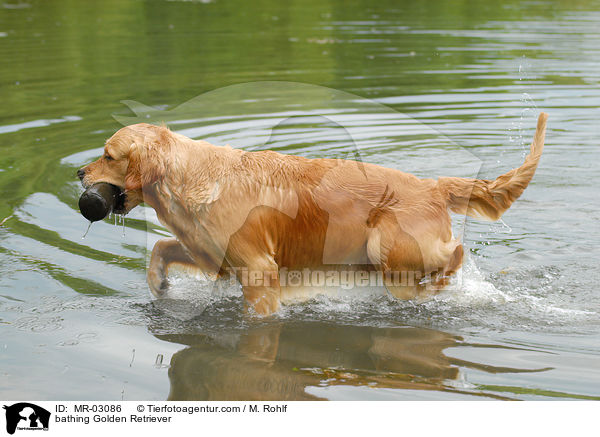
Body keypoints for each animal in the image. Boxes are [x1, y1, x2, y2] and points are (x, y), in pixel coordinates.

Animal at [77, 113, 548, 314]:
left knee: (453, 255)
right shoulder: (214, 257)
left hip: (386, 245)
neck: (191, 176)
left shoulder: (258, 268)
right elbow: (161, 247)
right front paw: (158, 283)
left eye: (108, 155)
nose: (79, 172)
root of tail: (433, 184)